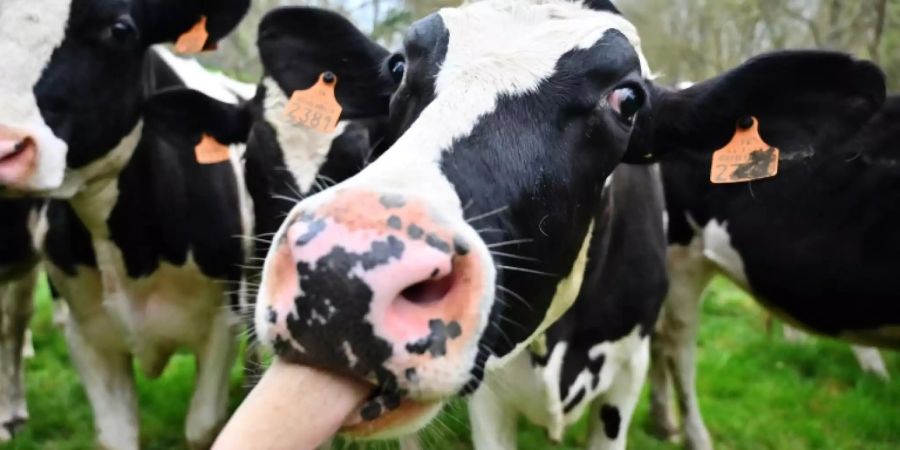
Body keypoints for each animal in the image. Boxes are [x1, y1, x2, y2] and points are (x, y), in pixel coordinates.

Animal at [0, 1, 255, 449]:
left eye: (119, 29)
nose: (4, 146)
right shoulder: (87, 336)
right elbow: (116, 434)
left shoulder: (224, 321)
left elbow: (203, 425)